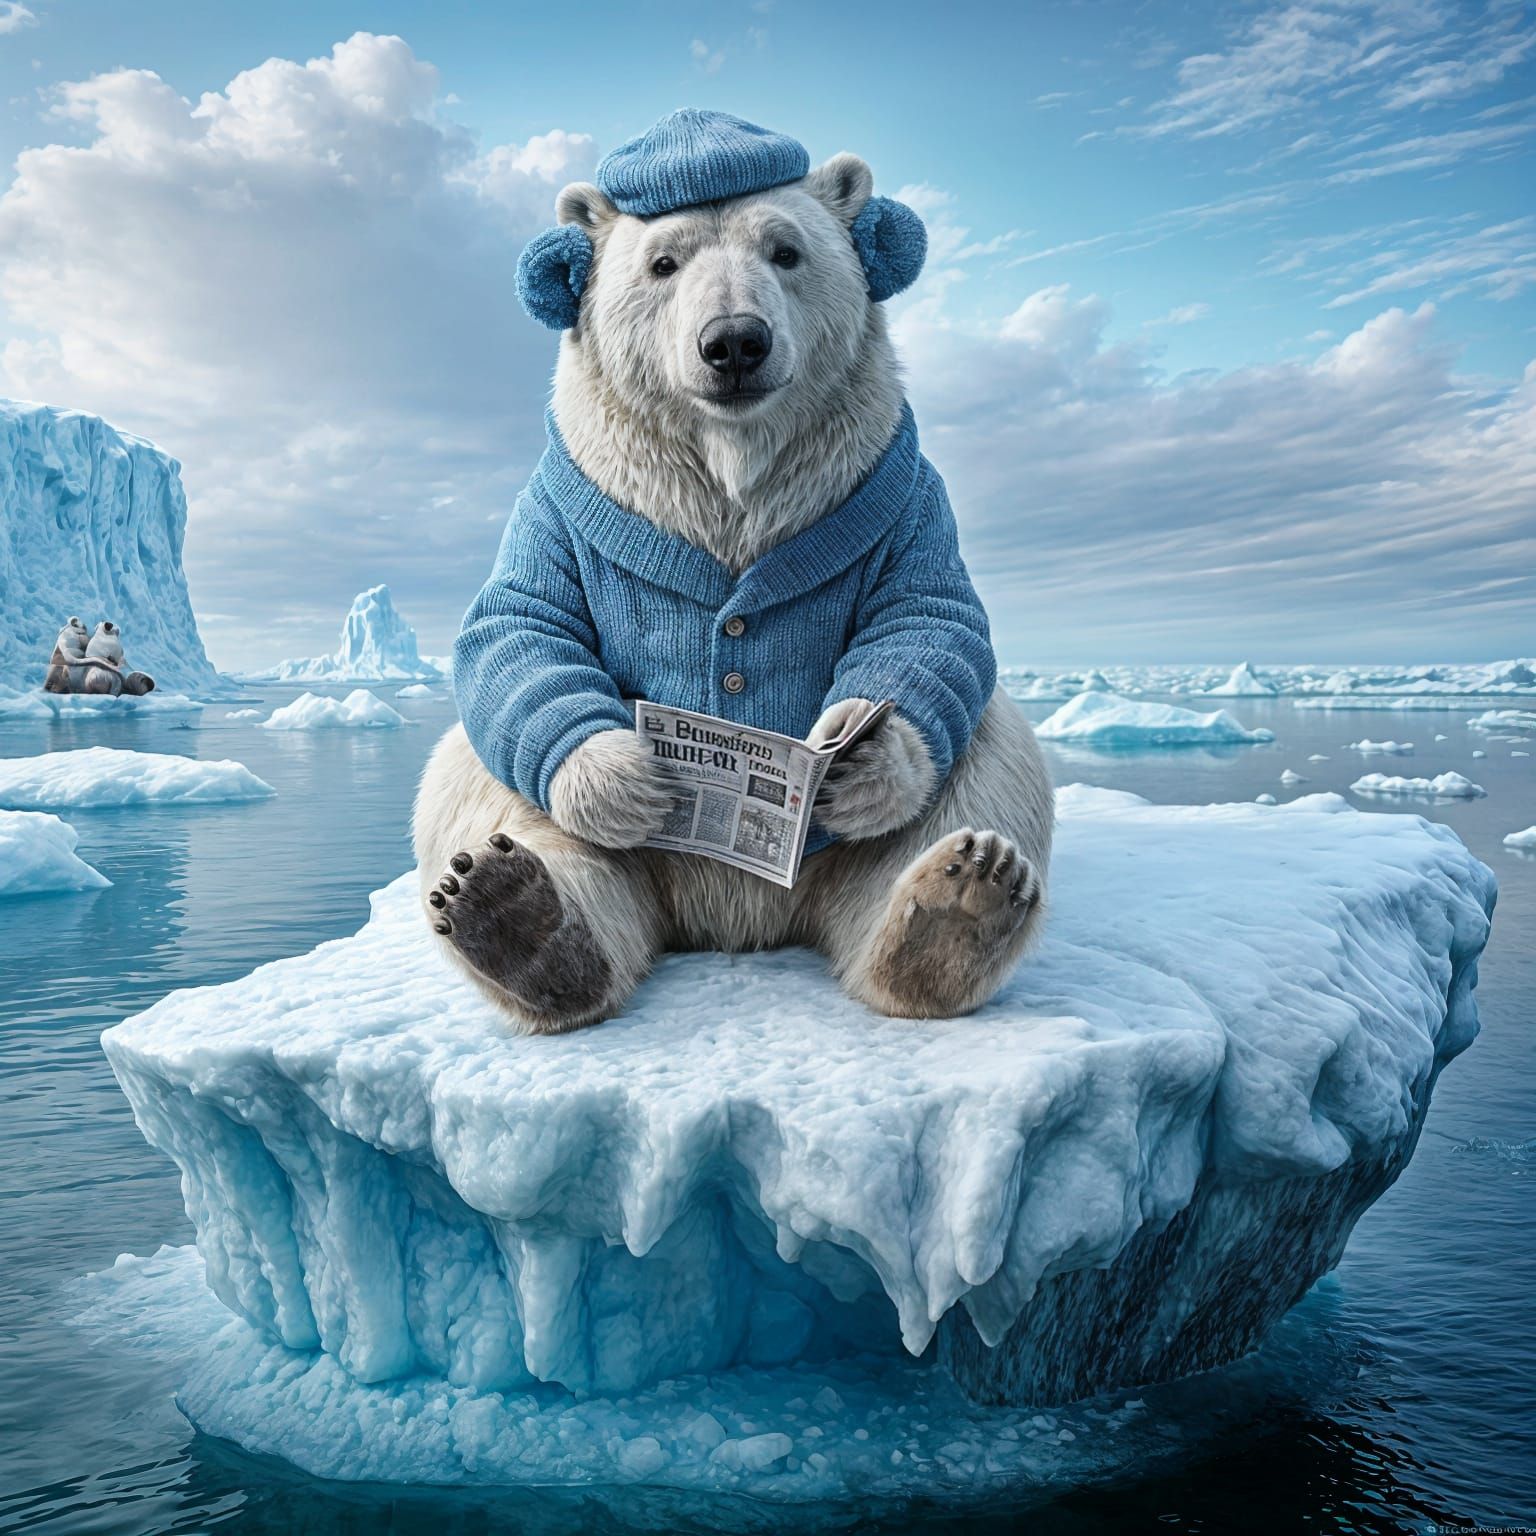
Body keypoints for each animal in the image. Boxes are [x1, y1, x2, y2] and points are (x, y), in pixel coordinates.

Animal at [412, 109, 1053, 1034]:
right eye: (663, 263)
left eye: (786, 250)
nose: (735, 342)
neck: (731, 467)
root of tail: (739, 923)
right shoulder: (558, 509)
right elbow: (523, 621)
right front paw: (633, 779)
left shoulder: (901, 496)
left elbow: (931, 612)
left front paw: (858, 761)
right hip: (613, 848)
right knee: (482, 772)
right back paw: (511, 914)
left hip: (854, 849)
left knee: (990, 760)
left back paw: (959, 904)